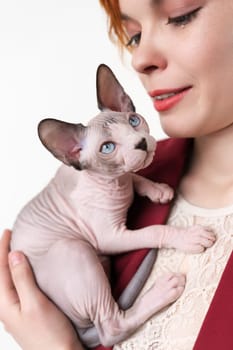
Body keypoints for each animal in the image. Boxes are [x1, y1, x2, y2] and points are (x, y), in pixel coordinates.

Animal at [10, 63, 215, 348]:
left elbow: (136, 177)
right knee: (111, 326)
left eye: (133, 120)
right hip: (75, 248)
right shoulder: (109, 238)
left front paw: (157, 190)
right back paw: (162, 292)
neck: (113, 183)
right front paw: (188, 237)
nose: (141, 143)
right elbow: (154, 231)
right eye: (107, 148)